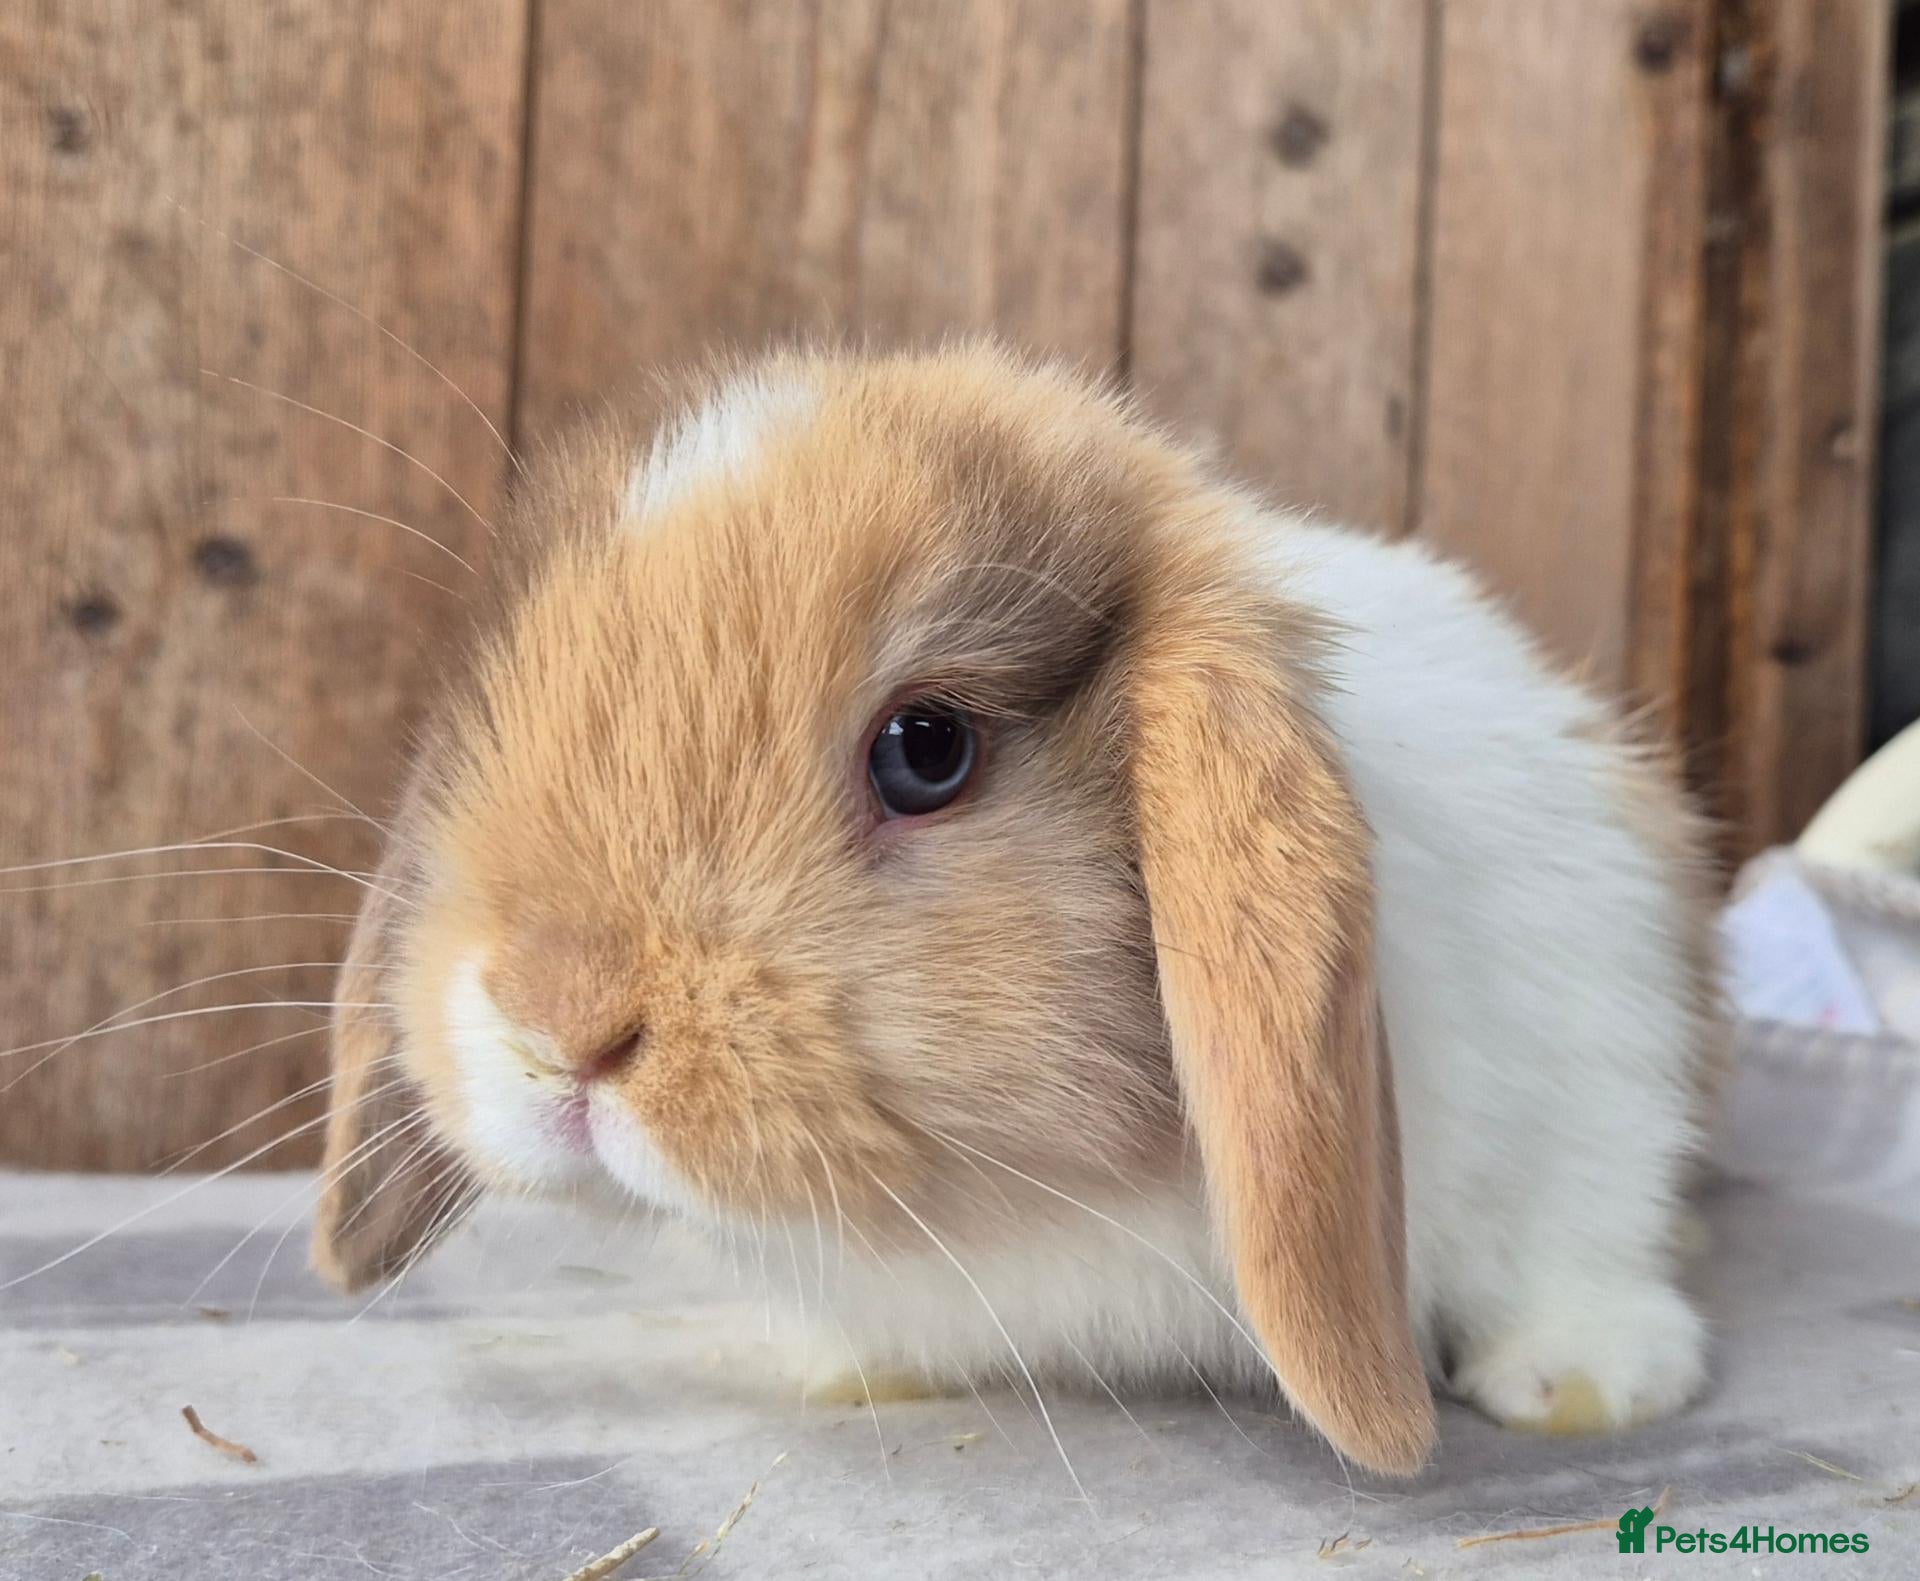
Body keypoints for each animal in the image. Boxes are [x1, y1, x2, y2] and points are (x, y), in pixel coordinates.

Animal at [311, 342, 1718, 1477]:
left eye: (926, 750)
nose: (558, 1020)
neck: (1036, 1209)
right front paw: (861, 1369)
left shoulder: (1598, 1067)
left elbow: (1578, 1229)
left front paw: (1587, 1387)